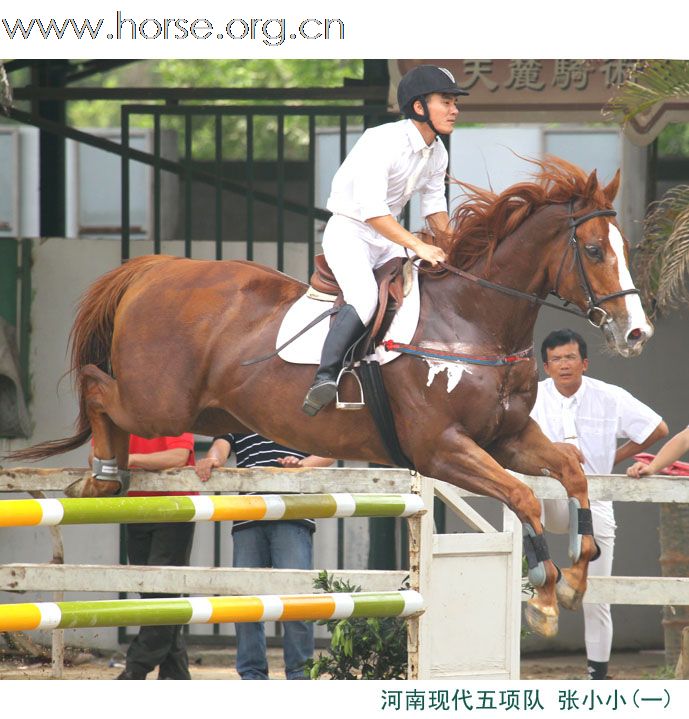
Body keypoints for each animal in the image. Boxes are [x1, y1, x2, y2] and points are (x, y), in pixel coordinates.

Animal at [9, 158, 652, 636]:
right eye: (594, 250)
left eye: (623, 245)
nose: (636, 333)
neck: (471, 320)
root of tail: (154, 268)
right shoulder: (443, 450)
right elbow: (523, 497)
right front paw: (544, 596)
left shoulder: (507, 437)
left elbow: (570, 471)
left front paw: (576, 578)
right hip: (158, 402)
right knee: (95, 384)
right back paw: (101, 475)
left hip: (194, 405)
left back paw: (107, 474)